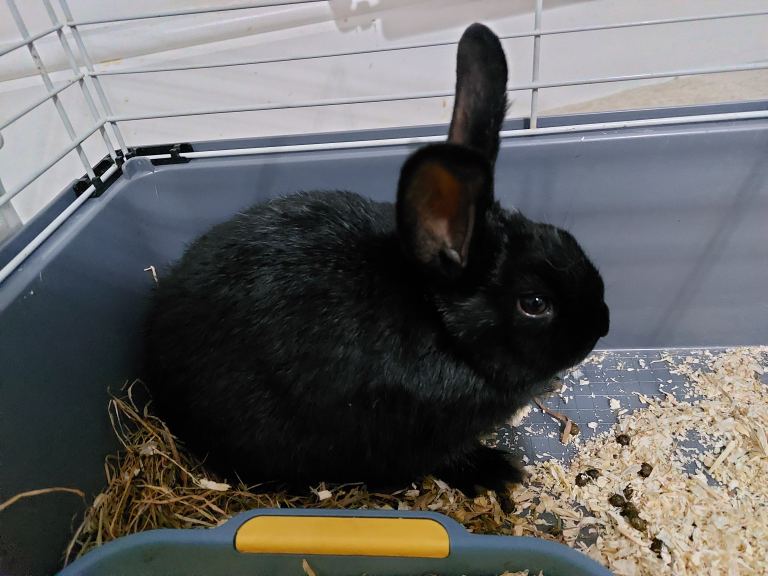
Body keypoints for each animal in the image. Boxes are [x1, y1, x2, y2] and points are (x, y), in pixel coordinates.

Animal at [144, 23, 609, 496]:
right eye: (534, 303)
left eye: (565, 238)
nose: (601, 326)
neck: (442, 327)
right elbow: (445, 458)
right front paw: (497, 470)